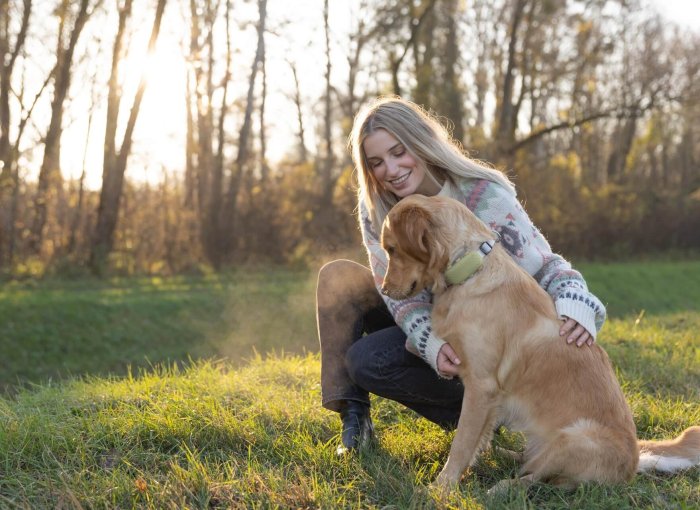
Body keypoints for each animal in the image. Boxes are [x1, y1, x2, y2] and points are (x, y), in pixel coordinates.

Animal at [380, 194, 700, 490]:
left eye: (392, 249)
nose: (382, 289)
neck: (468, 270)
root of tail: (633, 465)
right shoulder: (486, 394)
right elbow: (477, 440)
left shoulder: (481, 386)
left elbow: (462, 443)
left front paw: (440, 489)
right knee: (529, 461)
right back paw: (505, 454)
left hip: (573, 439)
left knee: (535, 479)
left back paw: (501, 488)